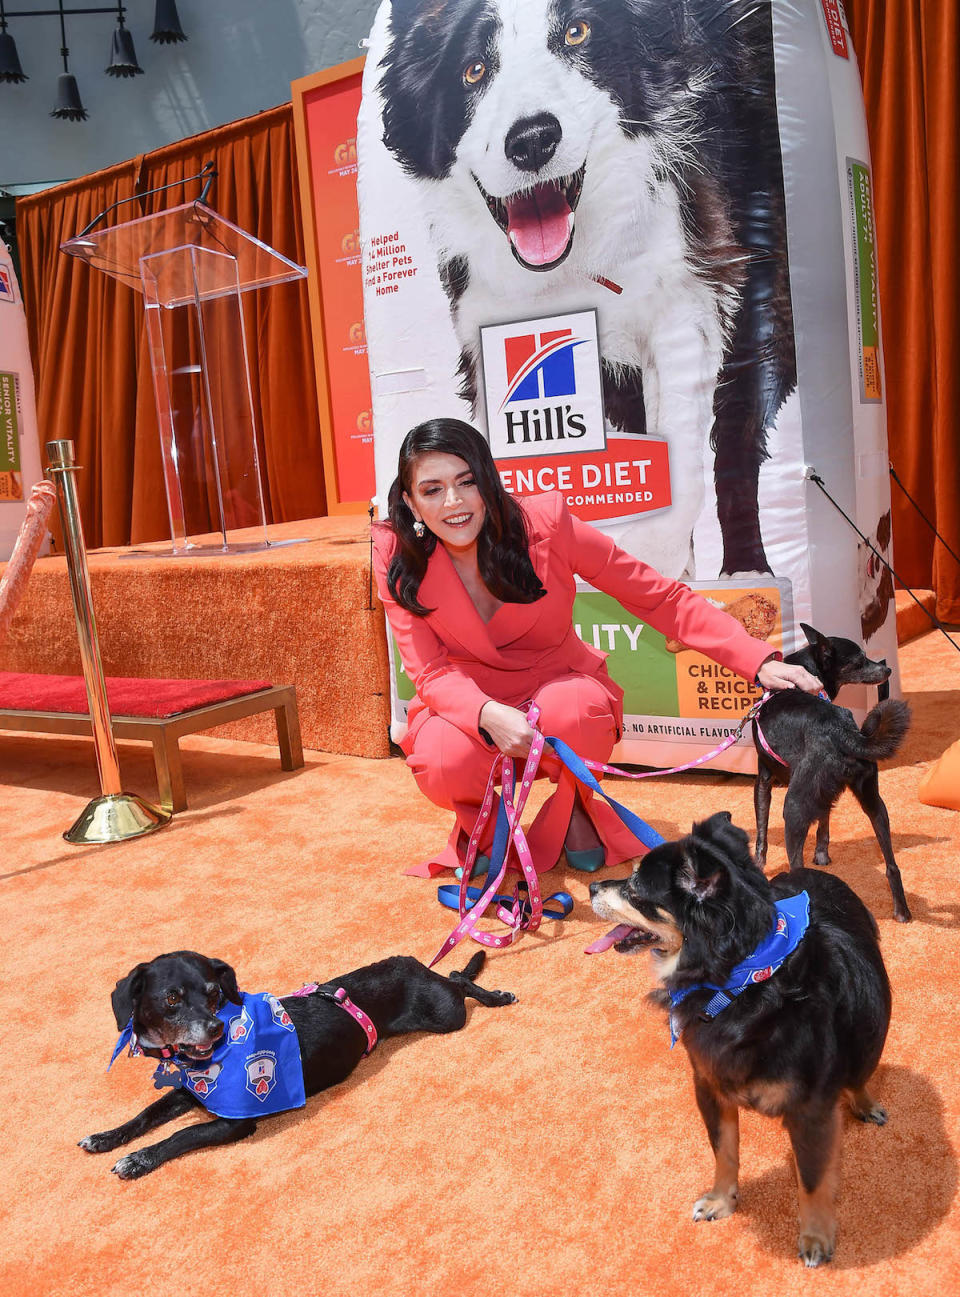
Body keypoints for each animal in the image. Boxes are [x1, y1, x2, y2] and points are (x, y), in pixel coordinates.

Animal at [78, 949, 513, 1182]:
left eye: (215, 993)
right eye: (171, 998)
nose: (215, 1028)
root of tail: (416, 963)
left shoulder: (236, 1122)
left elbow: (180, 1136)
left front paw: (138, 1160)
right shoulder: (190, 1092)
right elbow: (145, 1116)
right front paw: (105, 1138)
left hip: (447, 1014)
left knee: (460, 981)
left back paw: (497, 995)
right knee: (455, 973)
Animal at [588, 809, 897, 1265]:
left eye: (635, 888)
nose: (591, 886)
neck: (741, 982)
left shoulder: (812, 1110)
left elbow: (812, 1180)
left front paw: (816, 1238)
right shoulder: (710, 1086)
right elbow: (724, 1152)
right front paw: (722, 1201)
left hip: (871, 1030)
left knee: (859, 1073)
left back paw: (865, 1102)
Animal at [752, 625, 913, 923]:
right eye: (860, 660)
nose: (887, 669)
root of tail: (843, 732)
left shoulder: (764, 778)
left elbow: (761, 830)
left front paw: (758, 864)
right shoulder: (820, 794)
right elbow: (824, 819)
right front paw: (822, 854)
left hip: (793, 807)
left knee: (797, 866)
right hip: (874, 803)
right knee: (892, 865)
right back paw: (901, 911)